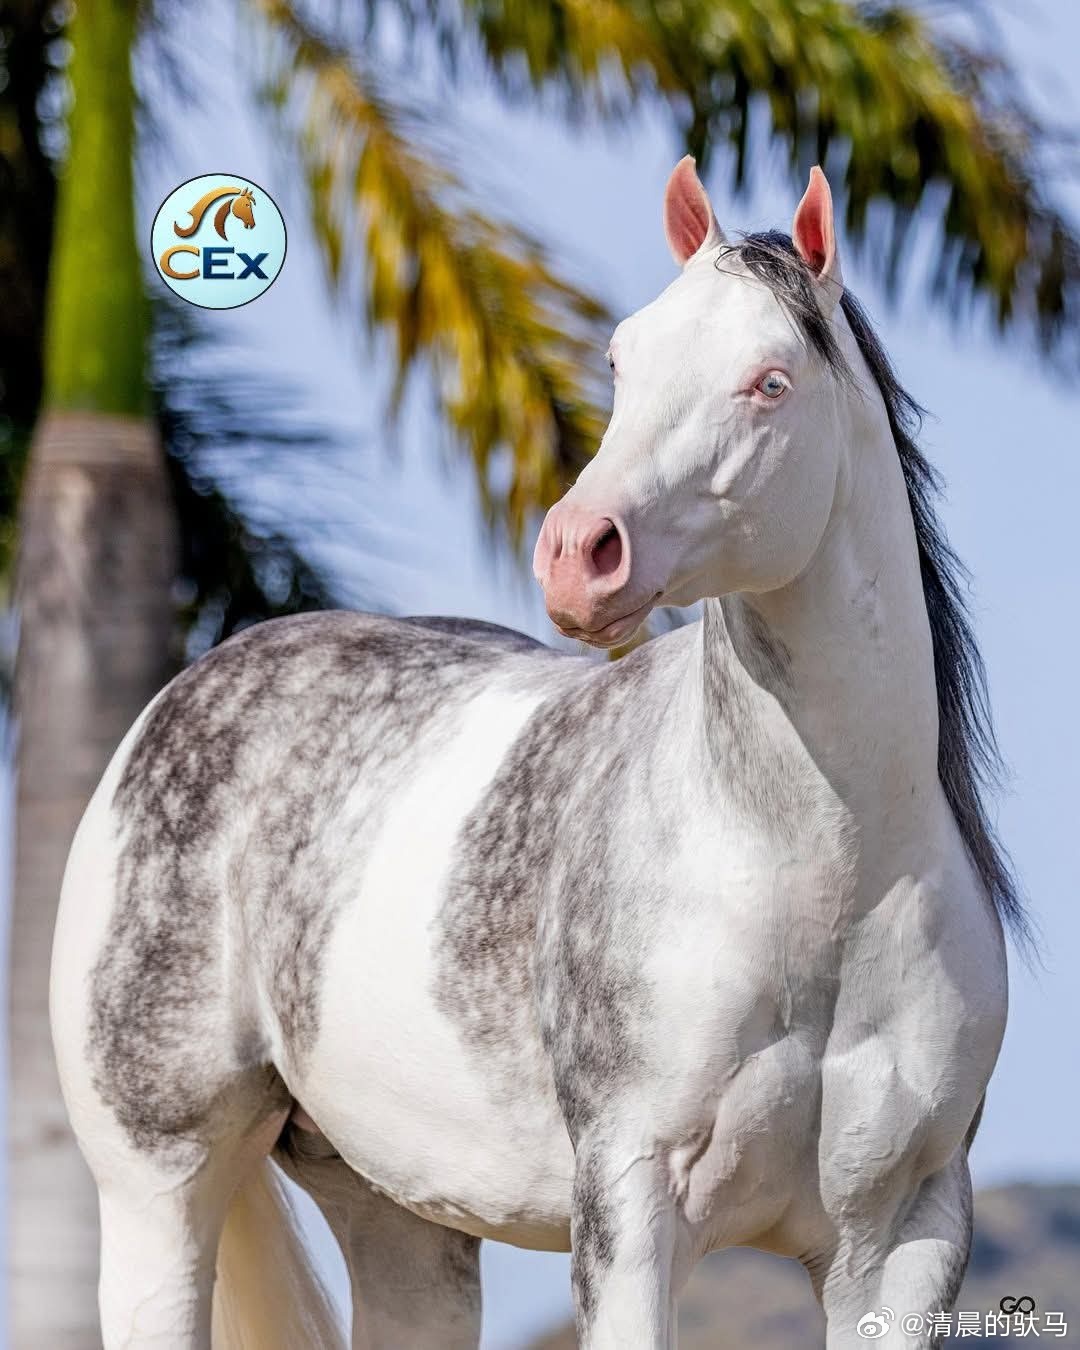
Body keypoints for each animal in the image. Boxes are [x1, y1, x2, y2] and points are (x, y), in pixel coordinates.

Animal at [51, 159, 1021, 1349]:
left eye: (770, 382)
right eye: (622, 356)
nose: (577, 553)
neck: (825, 877)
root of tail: (181, 701)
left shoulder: (900, 1241)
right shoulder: (631, 1211)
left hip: (399, 1219)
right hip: (159, 1182)